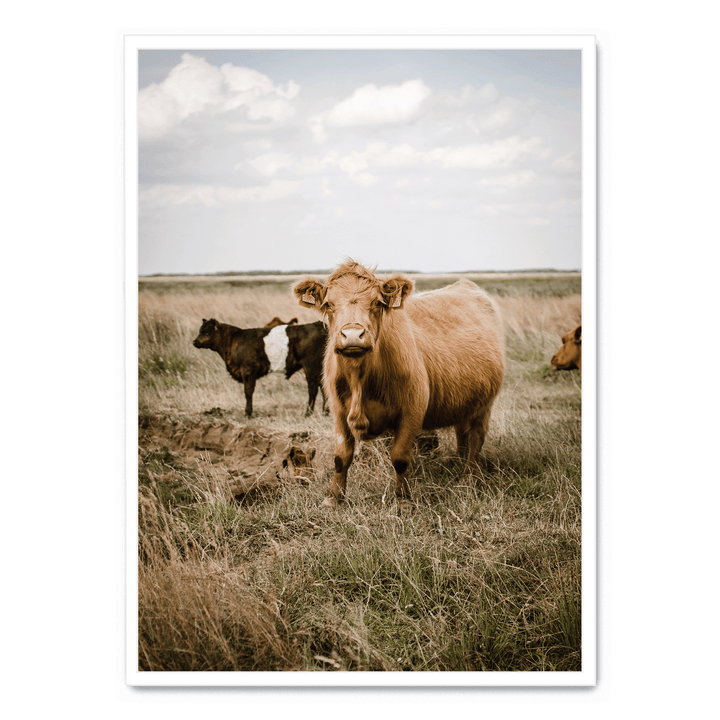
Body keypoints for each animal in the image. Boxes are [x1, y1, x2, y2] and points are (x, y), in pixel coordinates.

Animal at [192, 319, 328, 417]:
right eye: (200, 330)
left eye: (206, 332)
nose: (195, 342)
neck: (232, 341)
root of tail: (317, 324)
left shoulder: (248, 371)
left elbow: (248, 392)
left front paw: (248, 413)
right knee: (324, 387)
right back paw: (325, 412)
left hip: (310, 366)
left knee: (313, 389)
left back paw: (308, 413)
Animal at [293, 260, 504, 508]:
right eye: (328, 304)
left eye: (377, 302)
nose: (353, 335)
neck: (360, 379)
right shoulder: (338, 411)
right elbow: (341, 456)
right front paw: (333, 497)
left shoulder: (412, 410)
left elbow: (400, 457)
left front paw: (403, 499)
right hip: (465, 400)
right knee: (462, 432)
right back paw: (458, 464)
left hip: (485, 404)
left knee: (476, 437)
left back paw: (469, 477)